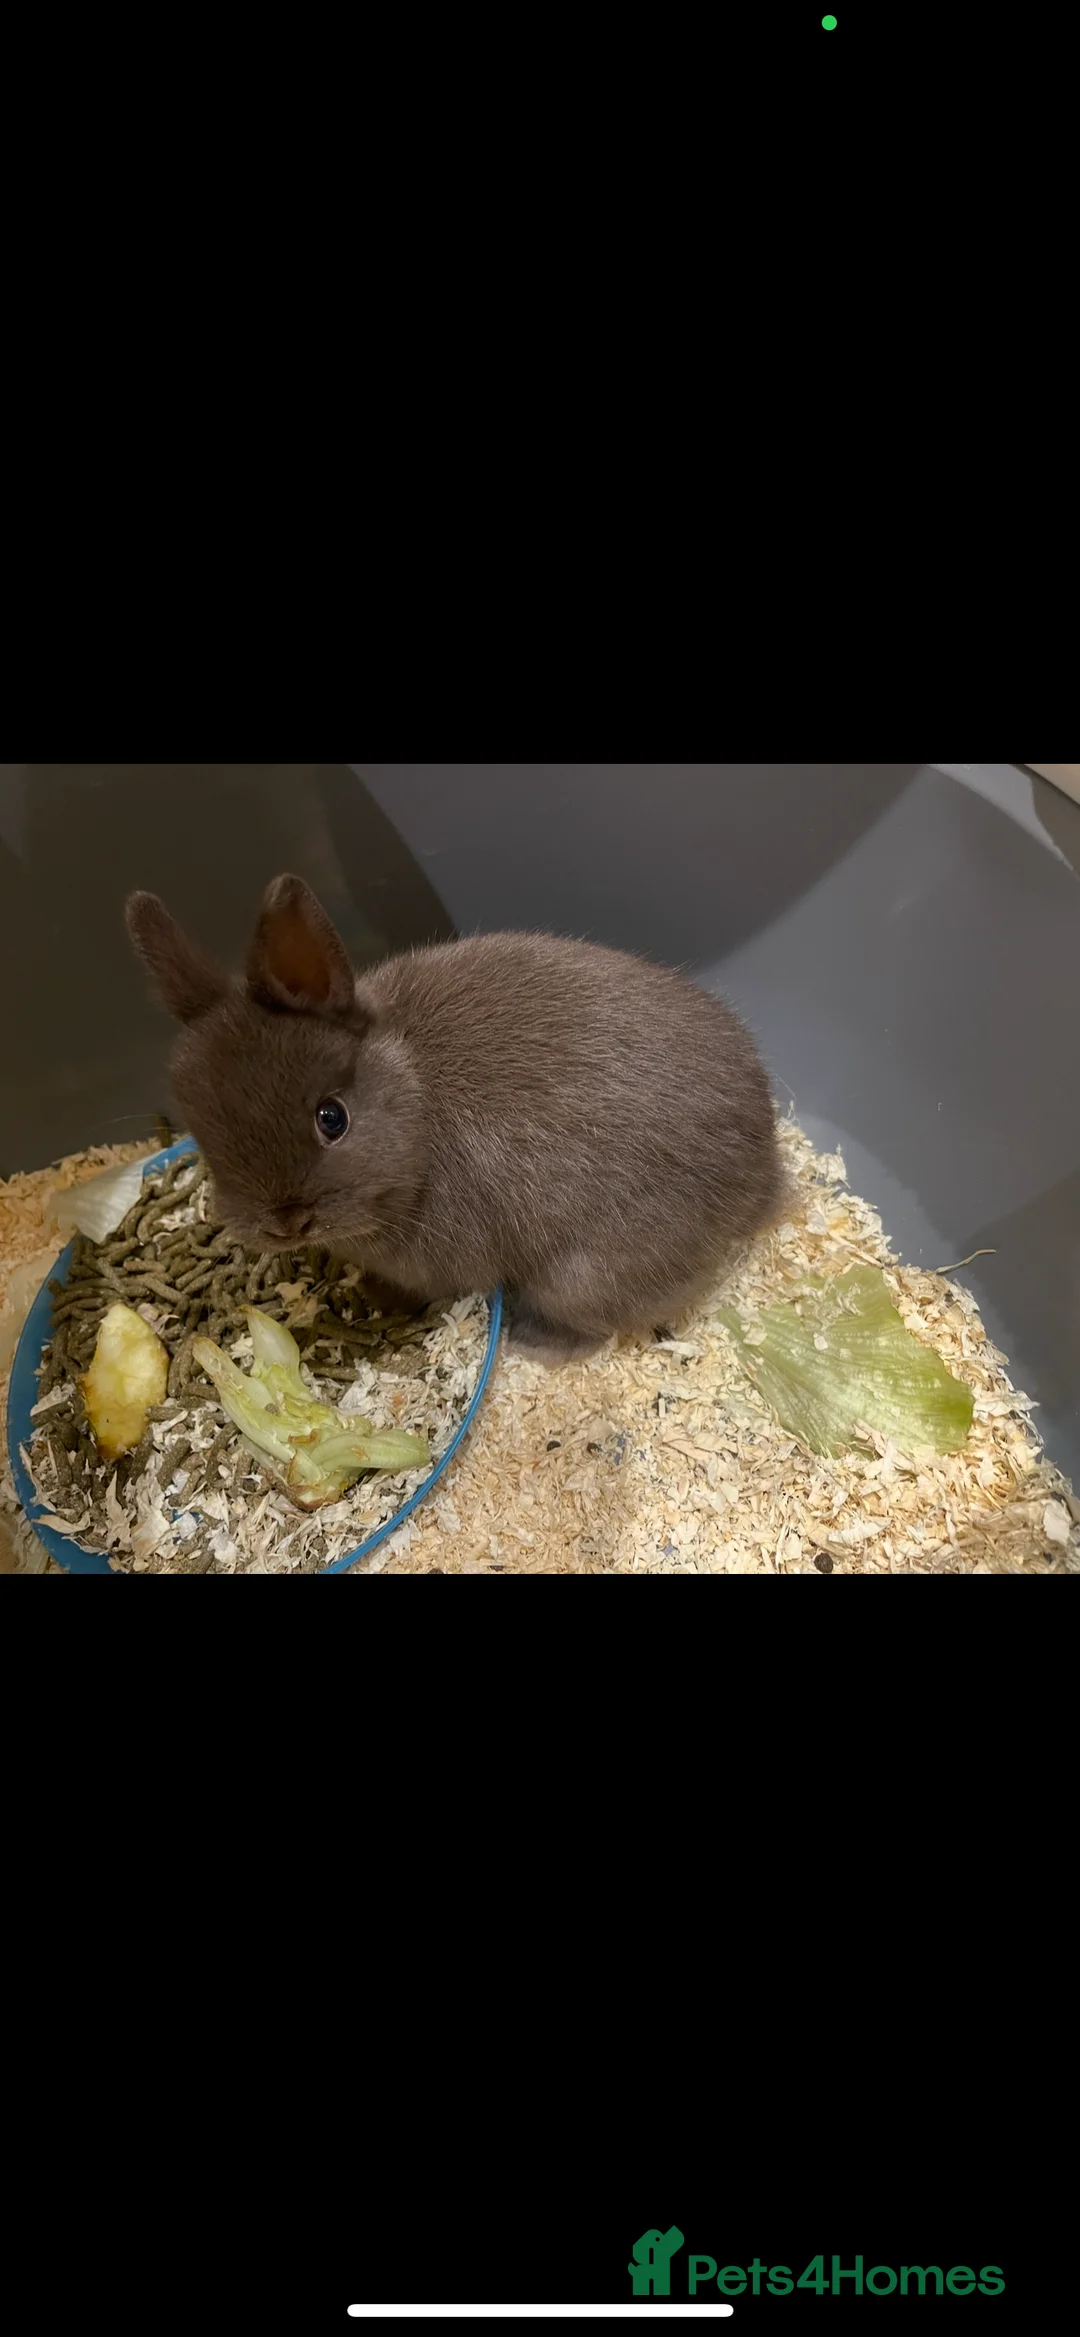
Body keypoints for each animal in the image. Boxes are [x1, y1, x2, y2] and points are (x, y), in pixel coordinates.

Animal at [125, 874, 786, 1361]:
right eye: (204, 1133)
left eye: (332, 1118)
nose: (286, 1223)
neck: (417, 1098)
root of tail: (763, 1178)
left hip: (579, 1277)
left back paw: (530, 1344)